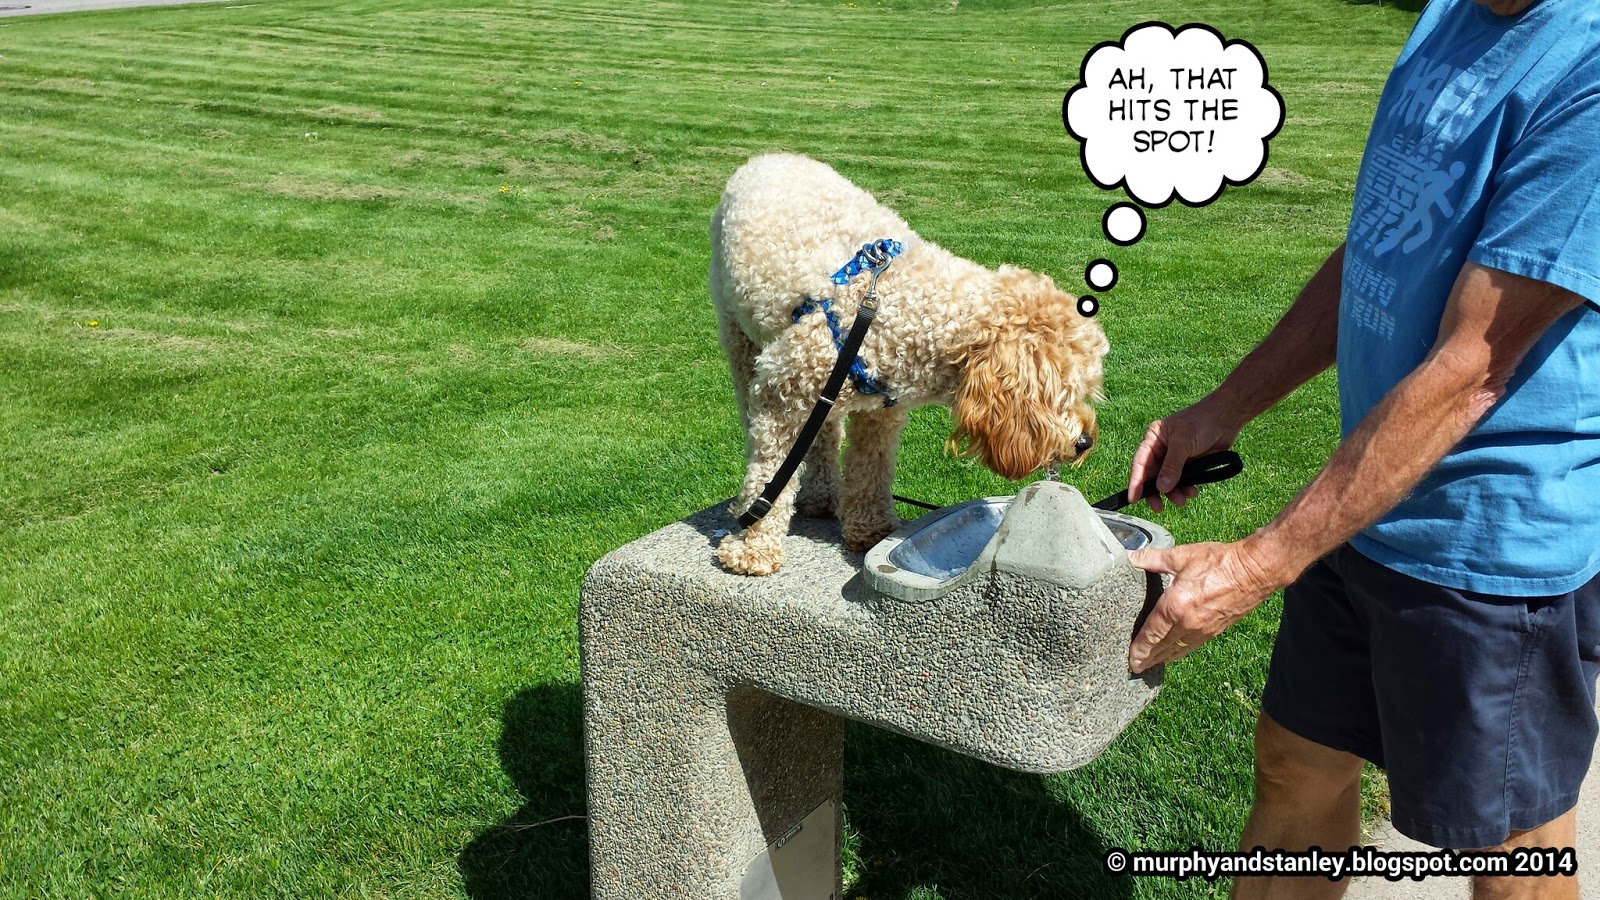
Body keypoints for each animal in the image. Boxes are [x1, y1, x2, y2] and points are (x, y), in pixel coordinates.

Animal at [711, 154, 1107, 576]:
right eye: (1061, 393)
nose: (1084, 442)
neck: (907, 306)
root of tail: (772, 156)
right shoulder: (781, 393)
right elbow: (770, 474)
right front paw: (752, 547)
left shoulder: (881, 411)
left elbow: (871, 468)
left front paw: (870, 528)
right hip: (739, 337)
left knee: (824, 433)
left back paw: (821, 495)